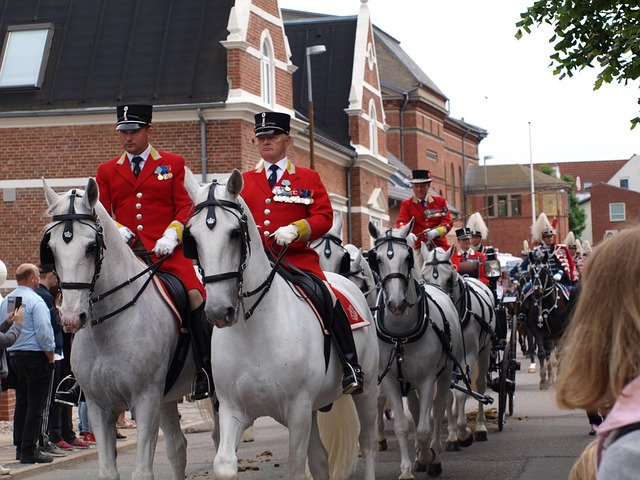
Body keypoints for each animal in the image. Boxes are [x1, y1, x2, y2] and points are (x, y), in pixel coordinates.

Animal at [42, 178, 208, 478]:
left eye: (91, 247)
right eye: (51, 248)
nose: (70, 317)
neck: (108, 326)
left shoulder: (145, 400)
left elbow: (142, 470)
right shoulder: (98, 406)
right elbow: (109, 471)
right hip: (167, 398)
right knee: (177, 448)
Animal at [182, 172, 378, 480]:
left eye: (234, 233)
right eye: (192, 238)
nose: (218, 311)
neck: (254, 327)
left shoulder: (298, 411)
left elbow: (296, 469)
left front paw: (286, 233)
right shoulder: (231, 408)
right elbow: (224, 464)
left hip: (367, 390)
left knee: (368, 443)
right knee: (320, 459)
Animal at [368, 222, 462, 480]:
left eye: (407, 257)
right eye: (377, 259)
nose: (396, 305)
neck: (401, 334)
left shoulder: (427, 378)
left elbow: (424, 427)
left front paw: (429, 458)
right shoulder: (390, 379)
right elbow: (402, 426)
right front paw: (408, 469)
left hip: (446, 372)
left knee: (439, 408)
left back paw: (435, 453)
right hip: (408, 381)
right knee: (416, 407)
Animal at [422, 246, 498, 448]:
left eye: (450, 278)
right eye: (424, 277)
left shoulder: (468, 356)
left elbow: (461, 394)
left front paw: (464, 432)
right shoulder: (446, 361)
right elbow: (448, 395)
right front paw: (453, 435)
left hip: (485, 350)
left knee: (481, 384)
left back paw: (480, 427)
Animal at [520, 251, 576, 390]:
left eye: (544, 271)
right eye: (531, 270)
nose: (537, 292)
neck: (545, 302)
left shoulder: (560, 332)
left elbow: (559, 353)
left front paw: (558, 378)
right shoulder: (539, 331)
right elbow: (542, 353)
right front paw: (544, 381)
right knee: (548, 353)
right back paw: (550, 378)